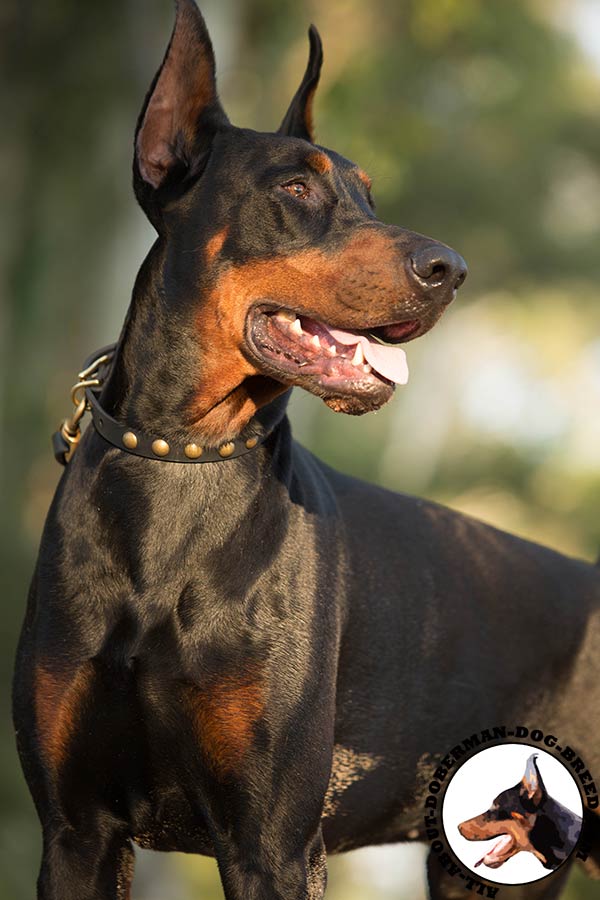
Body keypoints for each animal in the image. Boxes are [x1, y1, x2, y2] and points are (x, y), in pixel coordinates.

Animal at [10, 1, 600, 900]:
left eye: (369, 195)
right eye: (296, 187)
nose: (452, 269)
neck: (183, 459)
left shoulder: (274, 841)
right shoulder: (76, 833)